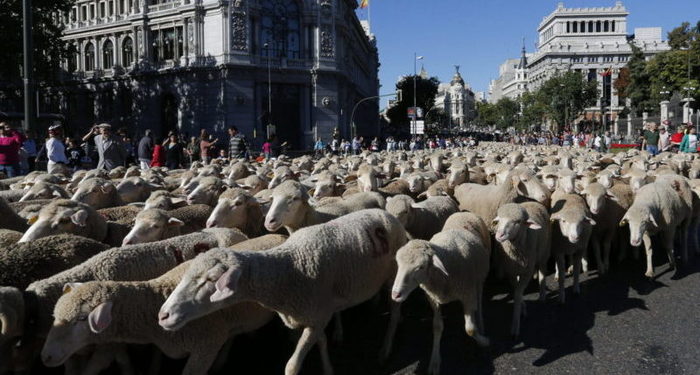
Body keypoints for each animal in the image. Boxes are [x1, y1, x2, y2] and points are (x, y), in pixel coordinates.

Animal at [157, 209, 410, 375]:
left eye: (210, 279)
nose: (163, 315)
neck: (289, 269)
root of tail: (385, 213)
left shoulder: (317, 317)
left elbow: (292, 366)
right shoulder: (313, 315)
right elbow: (321, 342)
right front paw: (328, 367)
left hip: (394, 277)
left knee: (396, 312)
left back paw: (386, 348)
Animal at [392, 229, 490, 375]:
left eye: (421, 267)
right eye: (398, 263)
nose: (395, 294)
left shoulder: (467, 294)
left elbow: (470, 329)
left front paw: (483, 342)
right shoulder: (433, 299)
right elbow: (437, 327)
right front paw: (435, 361)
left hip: (479, 279)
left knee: (479, 296)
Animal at [492, 203, 552, 338]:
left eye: (518, 221)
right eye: (499, 219)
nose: (499, 235)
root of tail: (533, 202)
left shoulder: (527, 272)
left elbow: (518, 293)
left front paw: (515, 326)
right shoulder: (511, 271)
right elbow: (517, 290)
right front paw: (522, 308)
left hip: (544, 252)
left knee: (542, 271)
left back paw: (542, 295)